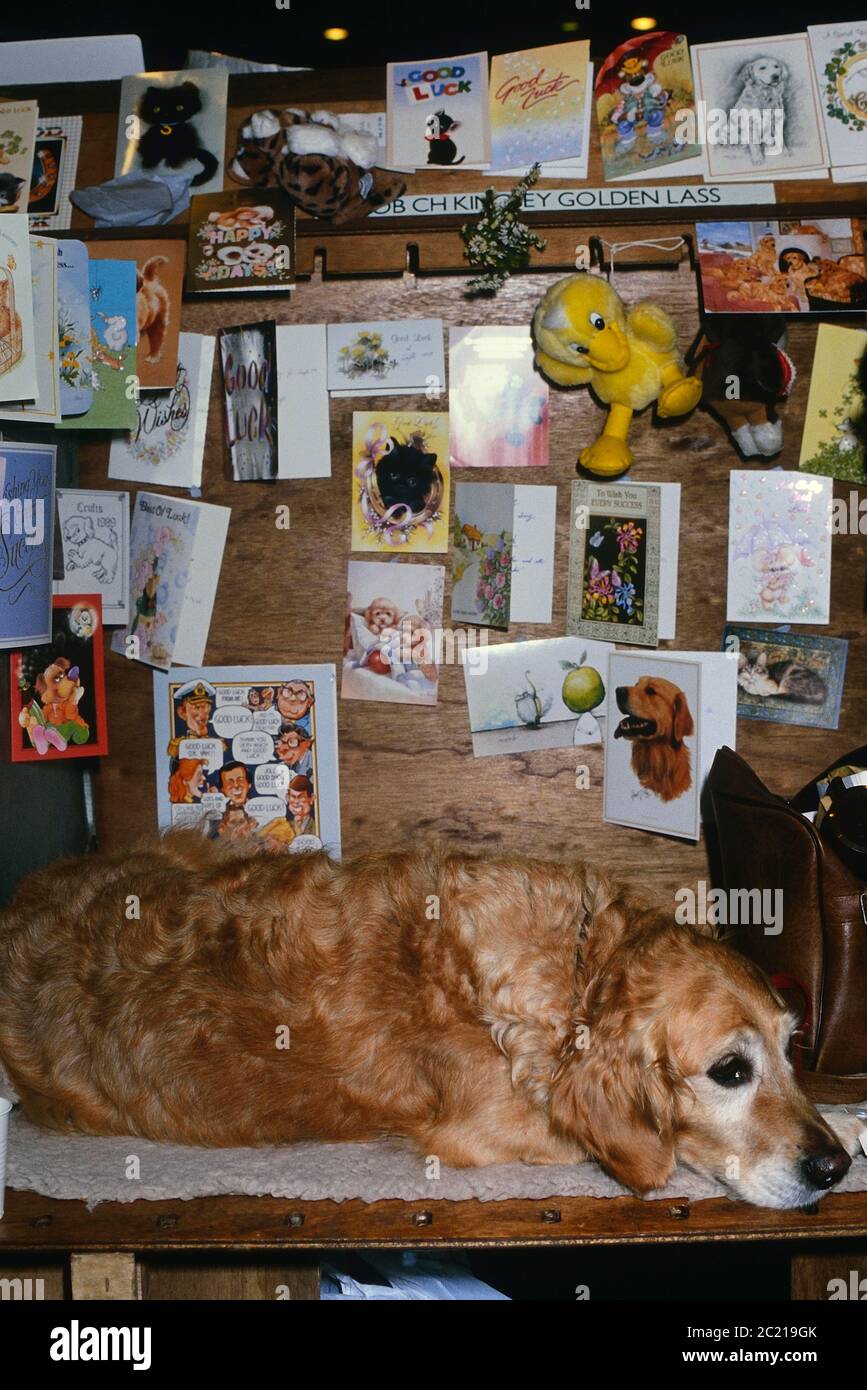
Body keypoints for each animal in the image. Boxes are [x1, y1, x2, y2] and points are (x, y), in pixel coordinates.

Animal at [0, 834, 855, 1206]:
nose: (831, 1170)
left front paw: (848, 1117)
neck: (577, 972)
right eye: (729, 1072)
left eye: (790, 1049)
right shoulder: (481, 1130)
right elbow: (655, 1147)